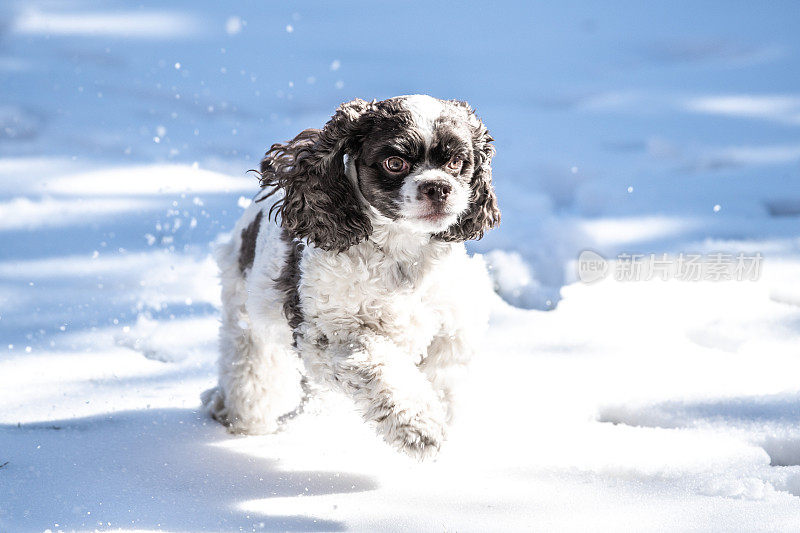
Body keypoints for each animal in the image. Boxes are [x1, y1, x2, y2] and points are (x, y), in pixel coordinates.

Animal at [202, 94, 500, 458]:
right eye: (395, 163)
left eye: (457, 161)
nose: (438, 187)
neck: (401, 258)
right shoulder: (330, 335)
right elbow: (380, 367)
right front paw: (418, 426)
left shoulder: (454, 321)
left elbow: (445, 368)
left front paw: (440, 414)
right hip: (245, 315)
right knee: (249, 373)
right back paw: (239, 420)